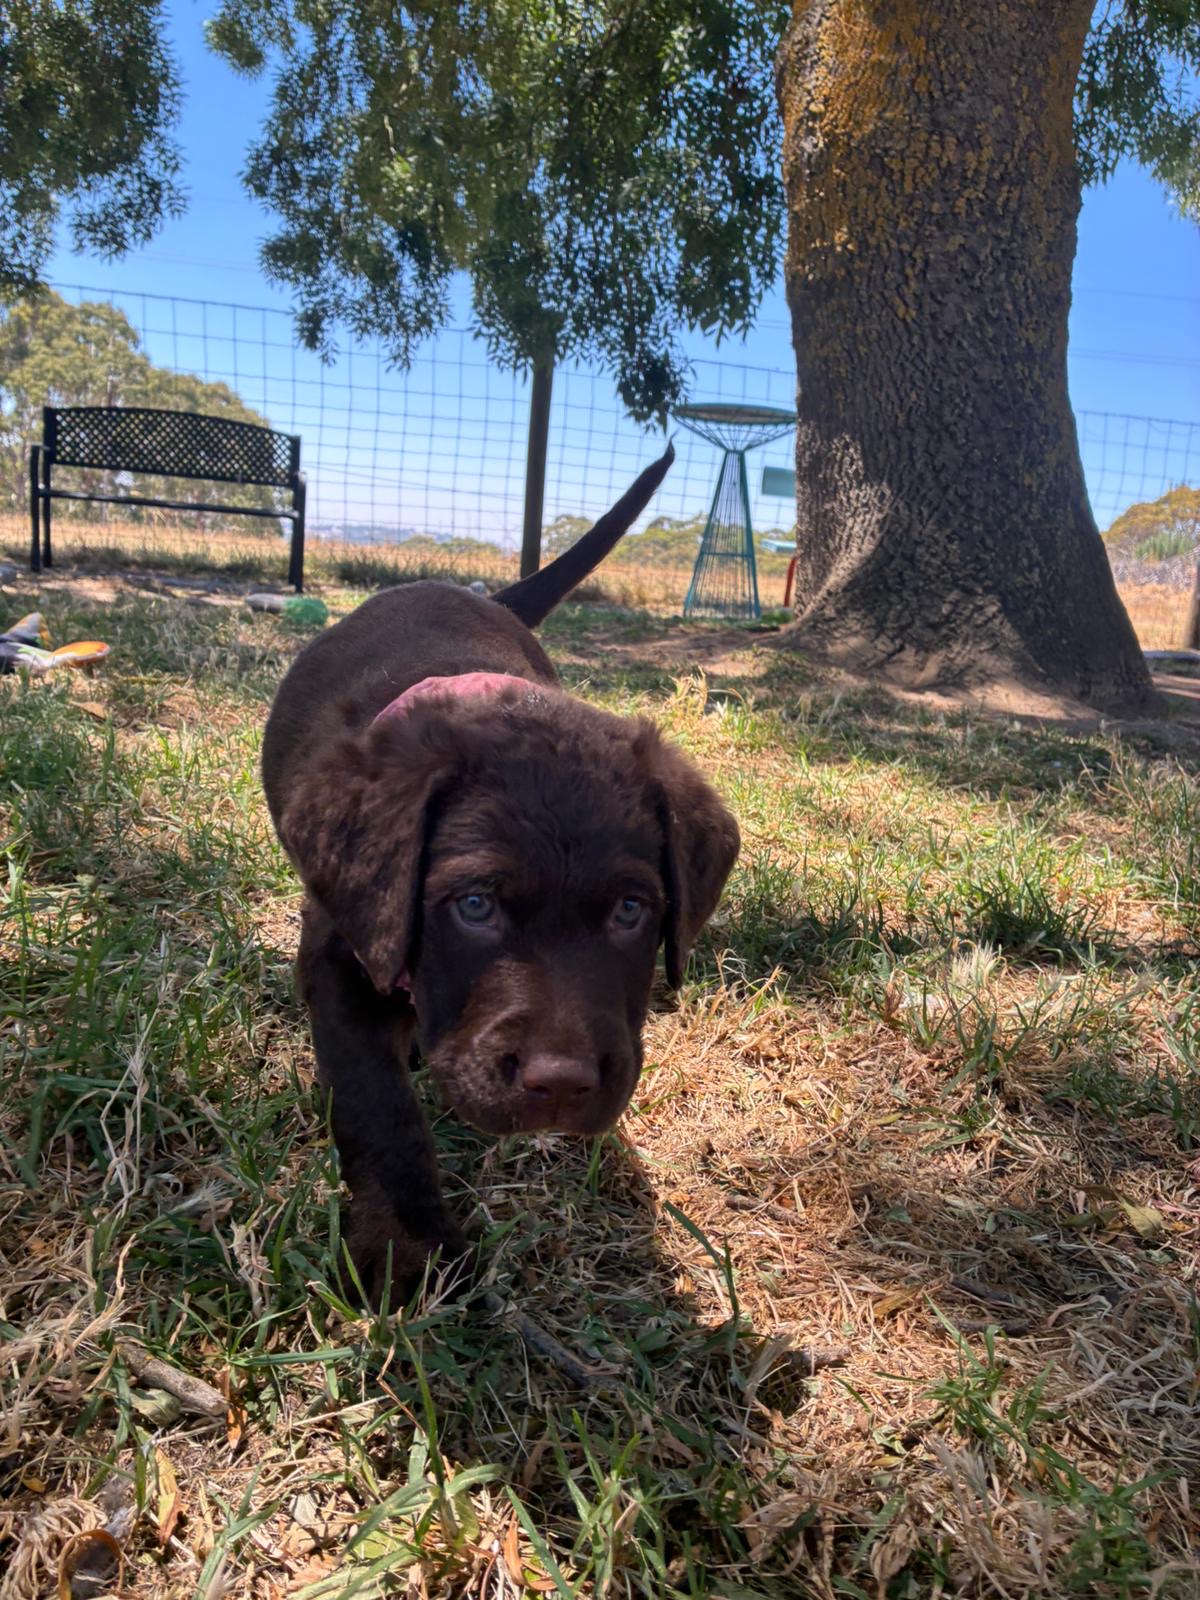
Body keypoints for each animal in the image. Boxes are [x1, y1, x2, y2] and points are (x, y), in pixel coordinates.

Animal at [261, 445, 740, 1302]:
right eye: (475, 905)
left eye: (631, 911)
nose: (561, 1085)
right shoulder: (341, 951)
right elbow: (376, 1101)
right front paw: (404, 1246)